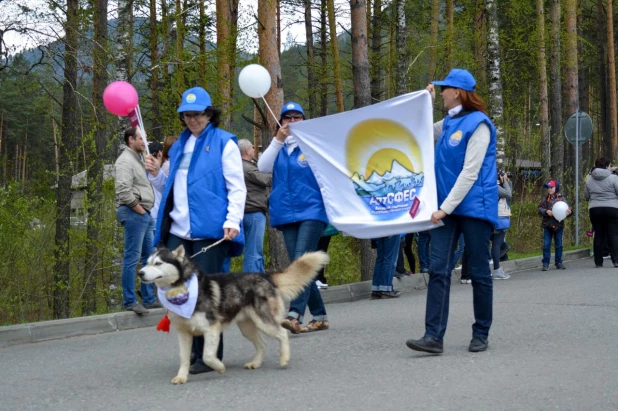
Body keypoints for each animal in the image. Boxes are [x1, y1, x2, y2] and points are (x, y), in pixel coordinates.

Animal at [137, 243, 324, 384]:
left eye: (158, 263)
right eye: (147, 262)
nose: (140, 272)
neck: (181, 289)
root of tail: (266, 276)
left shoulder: (211, 329)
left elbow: (207, 356)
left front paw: (219, 367)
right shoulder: (184, 333)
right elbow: (184, 358)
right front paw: (182, 377)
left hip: (264, 322)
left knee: (283, 333)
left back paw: (284, 358)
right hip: (247, 327)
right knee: (262, 344)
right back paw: (256, 363)